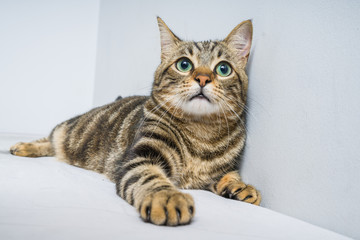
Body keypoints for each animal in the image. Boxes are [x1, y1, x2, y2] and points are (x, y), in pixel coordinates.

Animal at [9, 17, 260, 226]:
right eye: (184, 65)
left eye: (223, 68)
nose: (203, 78)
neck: (202, 133)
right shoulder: (141, 156)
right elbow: (151, 178)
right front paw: (167, 197)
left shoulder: (218, 172)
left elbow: (230, 175)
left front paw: (242, 187)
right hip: (68, 129)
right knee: (51, 138)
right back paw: (23, 146)